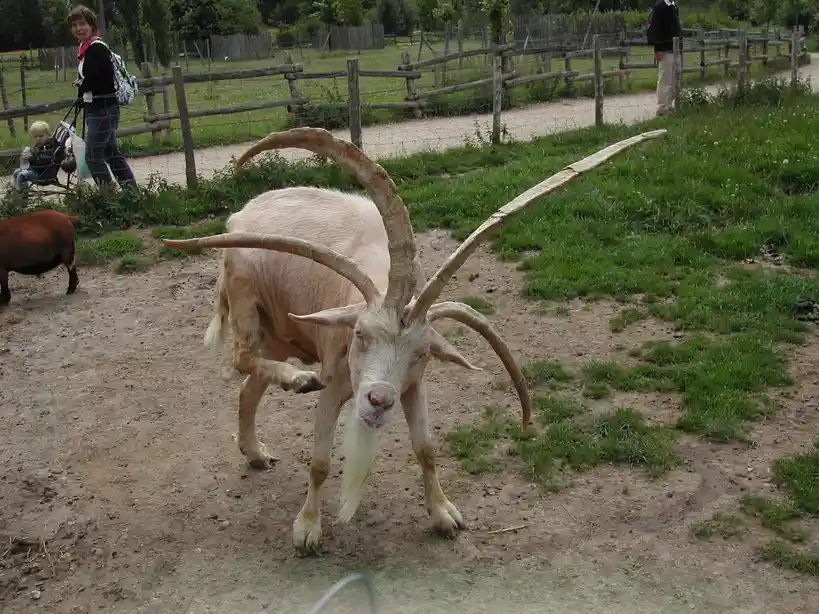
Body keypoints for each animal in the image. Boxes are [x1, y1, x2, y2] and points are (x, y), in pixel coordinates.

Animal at [162, 127, 667, 552]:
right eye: (360, 335)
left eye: (422, 352)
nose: (378, 401)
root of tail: (239, 217)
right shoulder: (337, 377)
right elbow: (320, 461)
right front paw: (307, 530)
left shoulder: (414, 386)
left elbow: (426, 449)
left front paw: (445, 516)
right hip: (248, 300)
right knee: (243, 360)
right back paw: (295, 382)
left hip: (281, 332)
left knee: (249, 386)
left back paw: (255, 452)